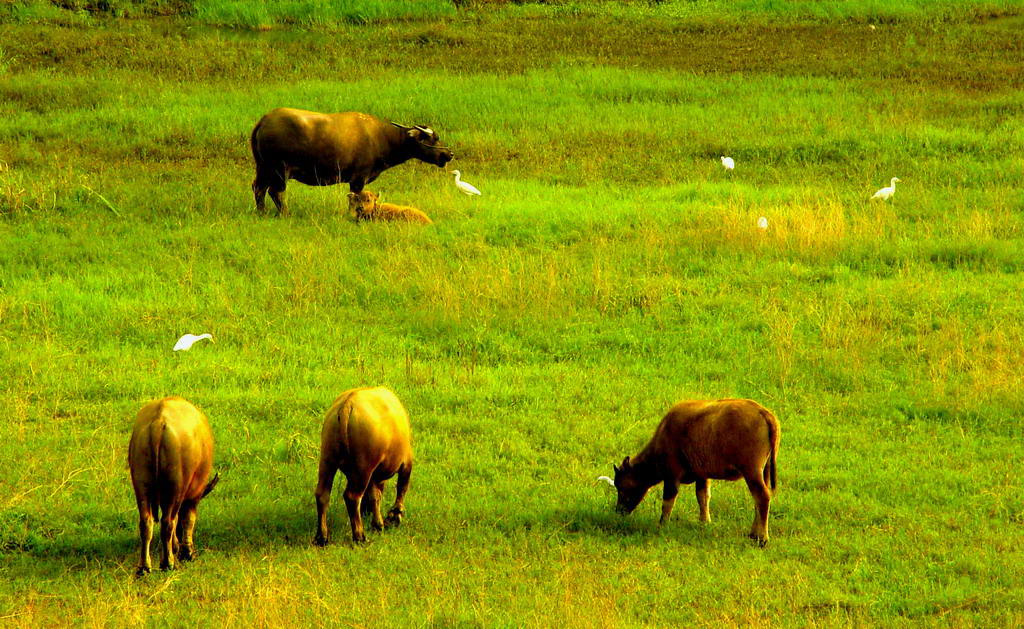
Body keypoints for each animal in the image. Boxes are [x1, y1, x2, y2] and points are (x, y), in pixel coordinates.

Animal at [127, 397, 218, 577]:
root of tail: (158, 422)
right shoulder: (194, 496)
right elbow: (188, 519)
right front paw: (187, 552)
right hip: (175, 487)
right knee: (168, 522)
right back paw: (168, 563)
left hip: (141, 483)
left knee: (146, 523)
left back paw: (144, 567)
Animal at [247, 109, 452, 217]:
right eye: (432, 139)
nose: (448, 154)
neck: (381, 137)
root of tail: (265, 120)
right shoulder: (358, 179)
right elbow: (355, 197)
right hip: (279, 170)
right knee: (275, 191)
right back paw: (285, 213)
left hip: (263, 167)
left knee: (258, 188)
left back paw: (262, 212)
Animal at [311, 387, 411, 544]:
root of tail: (347, 404)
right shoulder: (406, 463)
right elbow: (401, 488)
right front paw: (394, 517)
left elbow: (374, 496)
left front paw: (378, 524)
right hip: (363, 467)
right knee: (352, 497)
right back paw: (359, 536)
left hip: (327, 460)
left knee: (322, 494)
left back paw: (322, 537)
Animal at [610, 399, 778, 549]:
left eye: (622, 487)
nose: (619, 511)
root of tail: (764, 413)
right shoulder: (702, 475)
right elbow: (703, 497)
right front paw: (705, 522)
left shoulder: (672, 476)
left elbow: (668, 502)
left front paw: (662, 524)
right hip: (764, 471)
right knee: (759, 499)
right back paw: (753, 534)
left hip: (752, 471)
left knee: (762, 496)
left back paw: (762, 538)